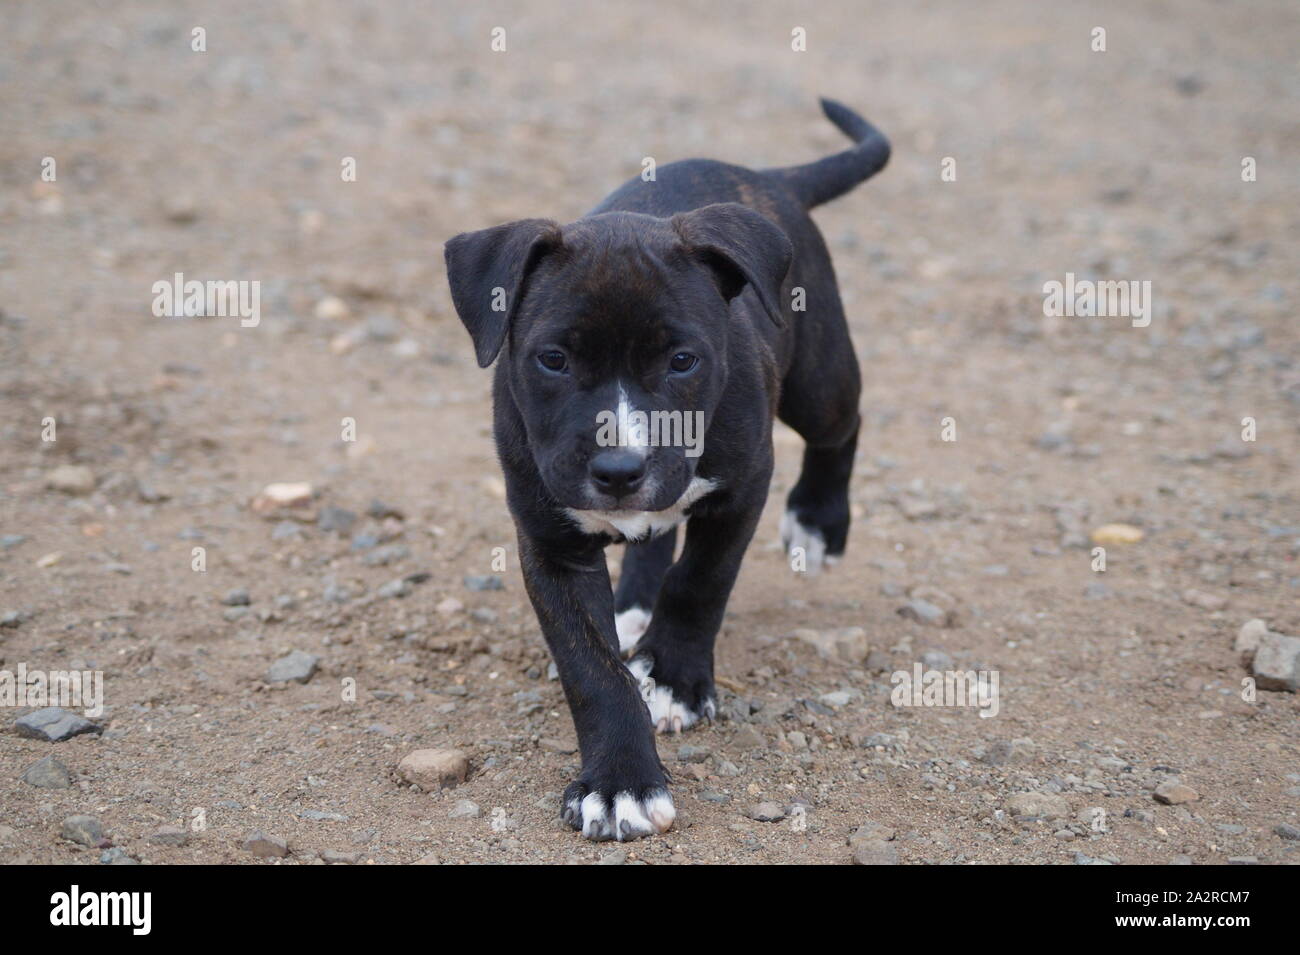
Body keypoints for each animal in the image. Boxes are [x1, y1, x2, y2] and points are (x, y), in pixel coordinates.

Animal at [441, 98, 889, 841]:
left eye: (683, 361)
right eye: (552, 359)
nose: (620, 467)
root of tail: (767, 179)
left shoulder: (743, 487)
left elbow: (701, 582)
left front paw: (675, 677)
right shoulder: (550, 540)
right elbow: (591, 667)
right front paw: (619, 781)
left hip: (818, 378)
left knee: (843, 423)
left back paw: (817, 522)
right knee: (654, 535)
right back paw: (631, 610)